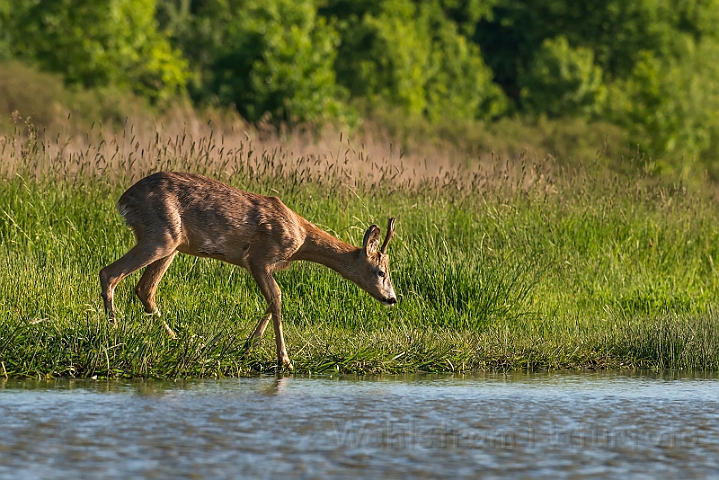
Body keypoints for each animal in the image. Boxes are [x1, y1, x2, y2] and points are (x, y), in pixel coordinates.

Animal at [100, 171, 400, 370]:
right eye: (381, 272)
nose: (392, 299)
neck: (301, 238)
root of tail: (124, 200)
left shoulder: (260, 264)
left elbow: (273, 300)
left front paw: (248, 346)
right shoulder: (258, 258)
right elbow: (277, 298)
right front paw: (284, 359)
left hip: (172, 245)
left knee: (145, 289)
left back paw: (178, 339)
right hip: (160, 236)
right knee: (109, 273)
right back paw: (114, 334)